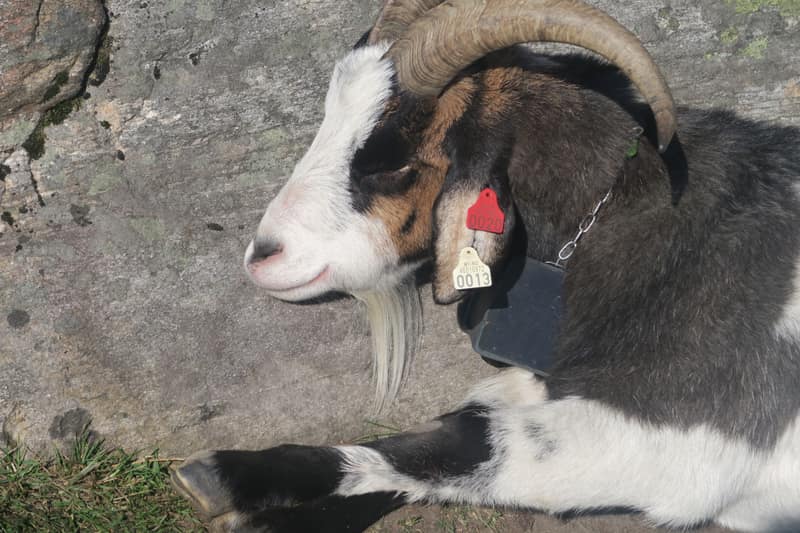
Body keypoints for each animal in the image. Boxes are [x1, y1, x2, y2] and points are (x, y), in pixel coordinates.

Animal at [171, 0, 800, 531]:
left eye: (391, 161)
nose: (264, 254)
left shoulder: (680, 434)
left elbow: (467, 443)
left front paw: (233, 483)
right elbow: (457, 421)